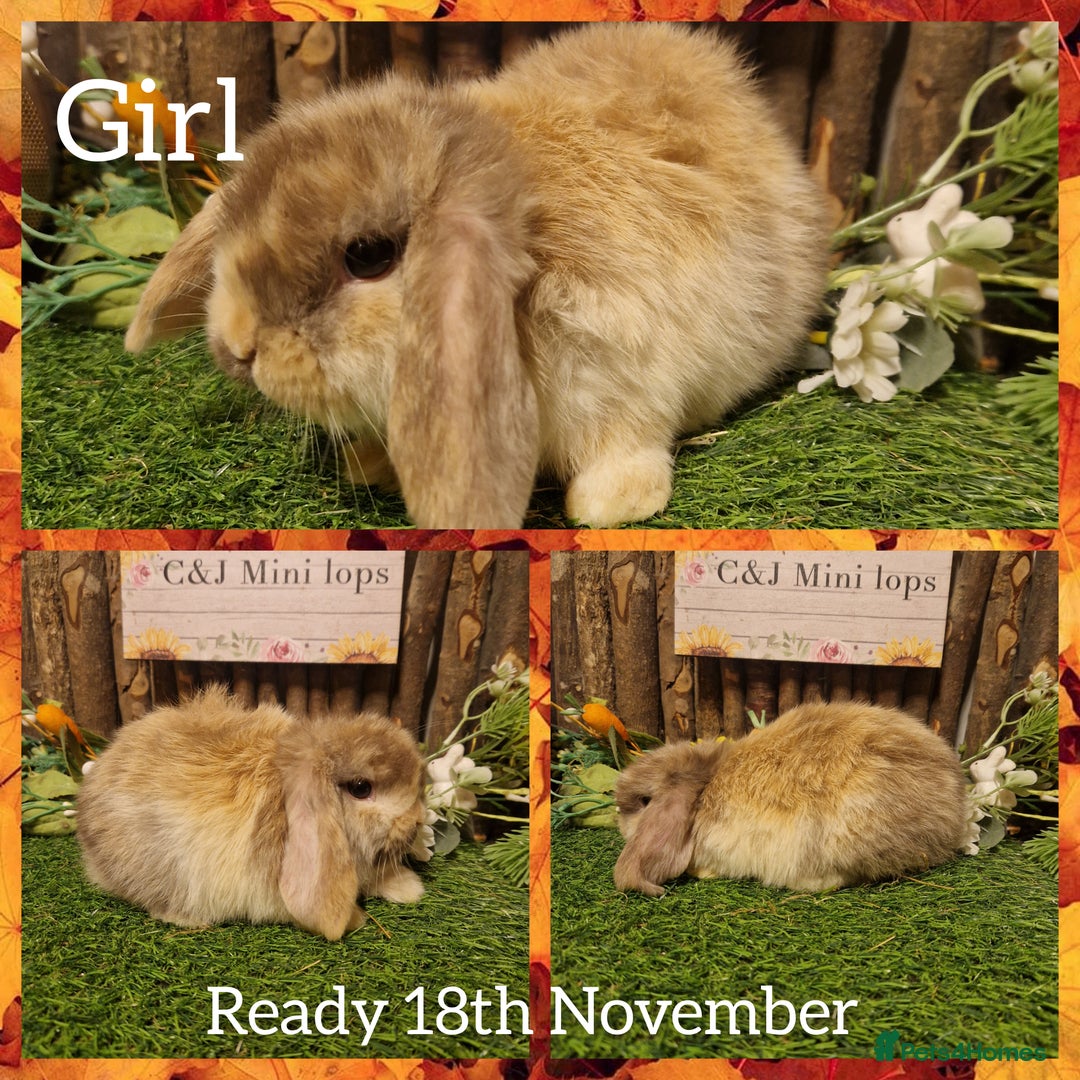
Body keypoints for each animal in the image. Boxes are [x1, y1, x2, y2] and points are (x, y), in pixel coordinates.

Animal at [124, 23, 829, 529]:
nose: (238, 349)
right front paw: (367, 465)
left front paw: (610, 507)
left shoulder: (628, 374)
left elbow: (626, 441)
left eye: (369, 255)